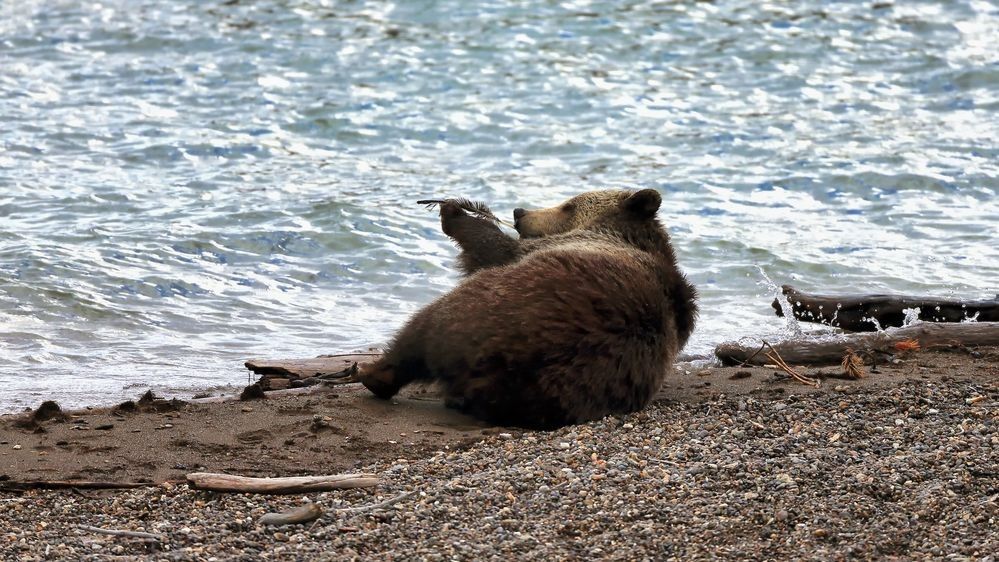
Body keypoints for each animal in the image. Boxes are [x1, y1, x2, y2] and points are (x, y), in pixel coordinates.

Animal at [358, 189, 698, 429]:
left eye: (569, 204)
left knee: (422, 327)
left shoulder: (559, 245)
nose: (519, 212)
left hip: (486, 307)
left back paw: (374, 373)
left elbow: (495, 249)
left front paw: (455, 211)